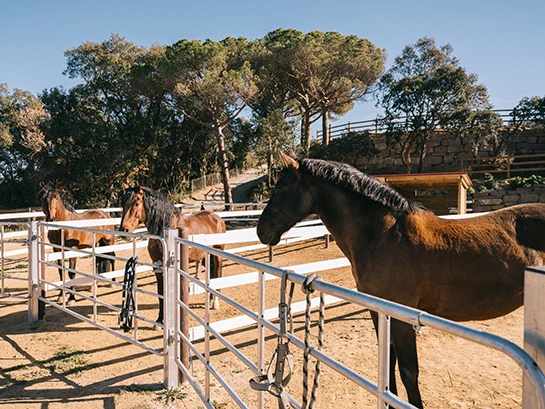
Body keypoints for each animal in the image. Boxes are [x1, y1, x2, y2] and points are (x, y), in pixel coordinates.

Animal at [120, 182, 226, 326]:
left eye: (136, 203)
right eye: (123, 204)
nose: (123, 230)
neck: (166, 228)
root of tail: (216, 218)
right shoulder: (157, 266)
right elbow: (161, 292)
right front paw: (159, 321)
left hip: (218, 254)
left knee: (218, 273)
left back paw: (215, 303)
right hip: (205, 256)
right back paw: (210, 300)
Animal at [258, 152, 544, 404]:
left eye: (281, 187)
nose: (261, 230)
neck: (383, 235)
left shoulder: (402, 315)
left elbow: (408, 371)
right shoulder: (379, 312)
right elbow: (388, 363)